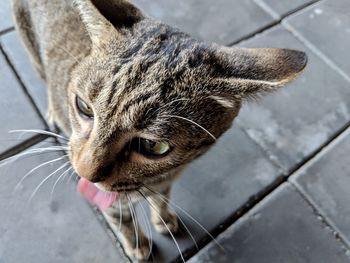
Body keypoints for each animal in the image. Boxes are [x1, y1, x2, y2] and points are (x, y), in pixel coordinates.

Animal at [11, 0, 306, 260]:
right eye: (83, 107)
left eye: (154, 146)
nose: (84, 173)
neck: (154, 179)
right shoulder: (112, 200)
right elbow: (122, 219)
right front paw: (138, 244)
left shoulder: (165, 180)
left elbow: (162, 197)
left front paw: (163, 217)